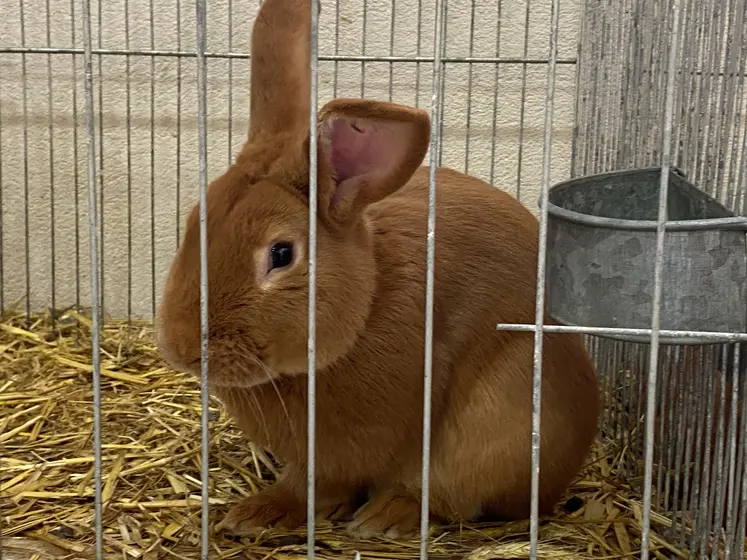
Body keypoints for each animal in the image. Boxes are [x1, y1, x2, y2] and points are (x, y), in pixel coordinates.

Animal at [155, 0, 601, 540]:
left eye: (281, 254)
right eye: (195, 219)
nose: (182, 346)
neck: (365, 305)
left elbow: (325, 486)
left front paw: (274, 514)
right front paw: (260, 512)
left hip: (500, 421)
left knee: (453, 497)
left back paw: (386, 517)